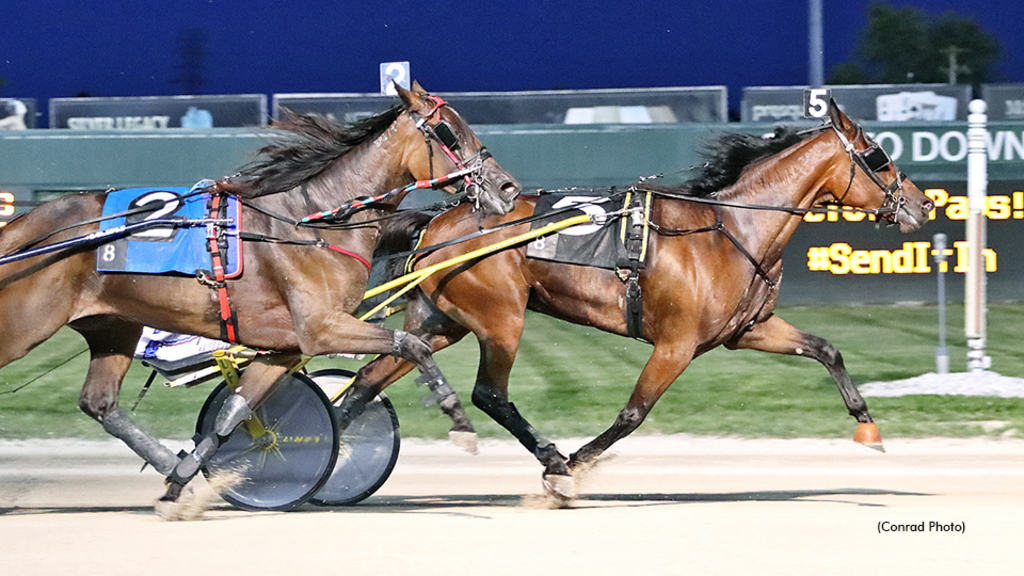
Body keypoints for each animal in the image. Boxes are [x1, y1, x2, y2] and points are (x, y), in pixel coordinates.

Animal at [0, 83, 520, 504]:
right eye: (448, 132)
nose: (507, 187)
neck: (311, 224)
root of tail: (25, 224)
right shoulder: (322, 329)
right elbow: (412, 345)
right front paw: (457, 418)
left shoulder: (285, 345)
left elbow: (234, 411)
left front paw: (190, 476)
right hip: (23, 326)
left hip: (113, 327)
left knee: (100, 403)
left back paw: (167, 462)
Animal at [348, 103, 933, 498]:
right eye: (879, 158)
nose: (922, 204)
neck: (728, 229)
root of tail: (438, 222)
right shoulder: (677, 343)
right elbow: (633, 413)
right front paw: (577, 463)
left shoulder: (748, 330)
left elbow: (825, 348)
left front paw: (867, 425)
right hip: (500, 319)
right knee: (489, 394)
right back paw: (554, 460)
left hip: (440, 321)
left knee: (370, 378)